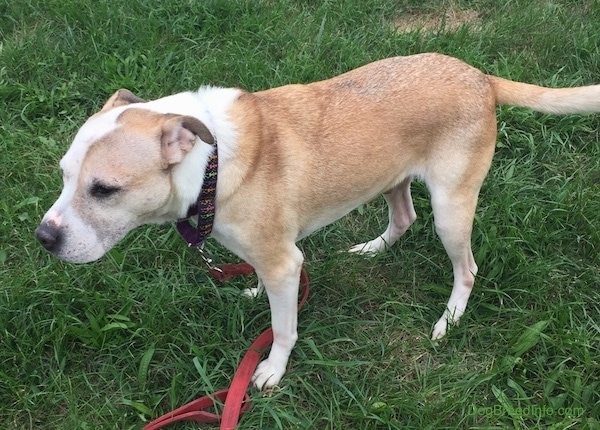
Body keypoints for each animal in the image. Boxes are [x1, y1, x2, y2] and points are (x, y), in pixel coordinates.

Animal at [36, 53, 600, 390]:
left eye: (104, 190)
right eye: (63, 175)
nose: (43, 238)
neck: (210, 165)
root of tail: (479, 76)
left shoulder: (286, 263)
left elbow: (284, 329)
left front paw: (271, 370)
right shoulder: (272, 260)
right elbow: (264, 290)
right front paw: (253, 293)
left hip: (451, 212)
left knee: (467, 268)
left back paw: (450, 319)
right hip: (391, 178)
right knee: (403, 216)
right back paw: (374, 249)